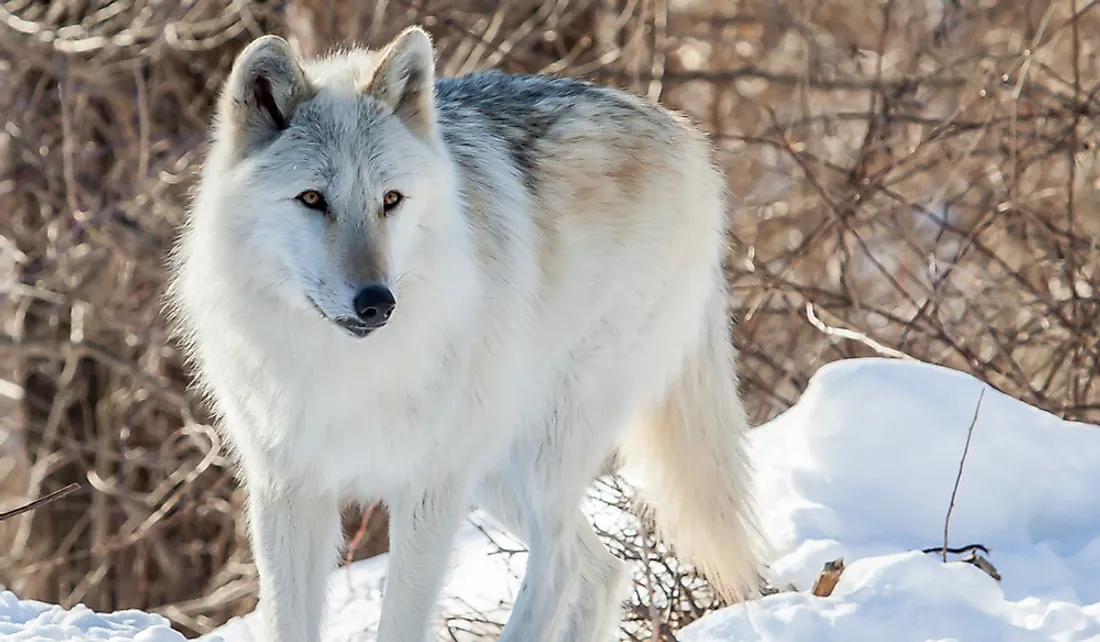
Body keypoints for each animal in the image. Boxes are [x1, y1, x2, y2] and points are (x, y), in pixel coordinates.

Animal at [165, 22, 765, 642]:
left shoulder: (429, 485)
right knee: (602, 568)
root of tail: (685, 136)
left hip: (544, 447)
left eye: (390, 200)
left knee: (562, 561)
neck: (342, 369)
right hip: (492, 471)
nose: (377, 303)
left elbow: (400, 624)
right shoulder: (288, 491)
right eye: (312, 198)